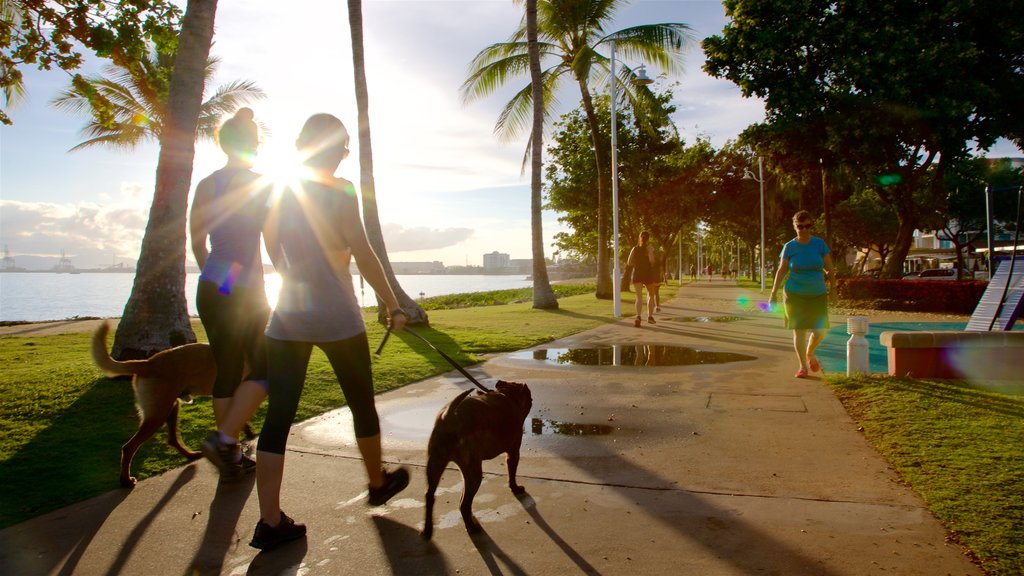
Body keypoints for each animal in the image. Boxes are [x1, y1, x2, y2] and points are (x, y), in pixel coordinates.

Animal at [92, 319, 251, 485]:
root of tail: (148, 362)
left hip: (171, 408)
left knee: (172, 439)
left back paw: (191, 455)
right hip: (158, 413)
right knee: (129, 447)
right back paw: (126, 480)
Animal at [423, 379, 536, 537]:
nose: (532, 399)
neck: (507, 394)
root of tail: (449, 416)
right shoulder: (513, 452)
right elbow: (512, 473)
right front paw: (515, 488)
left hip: (435, 466)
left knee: (430, 495)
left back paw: (428, 529)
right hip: (473, 473)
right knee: (464, 504)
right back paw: (471, 527)